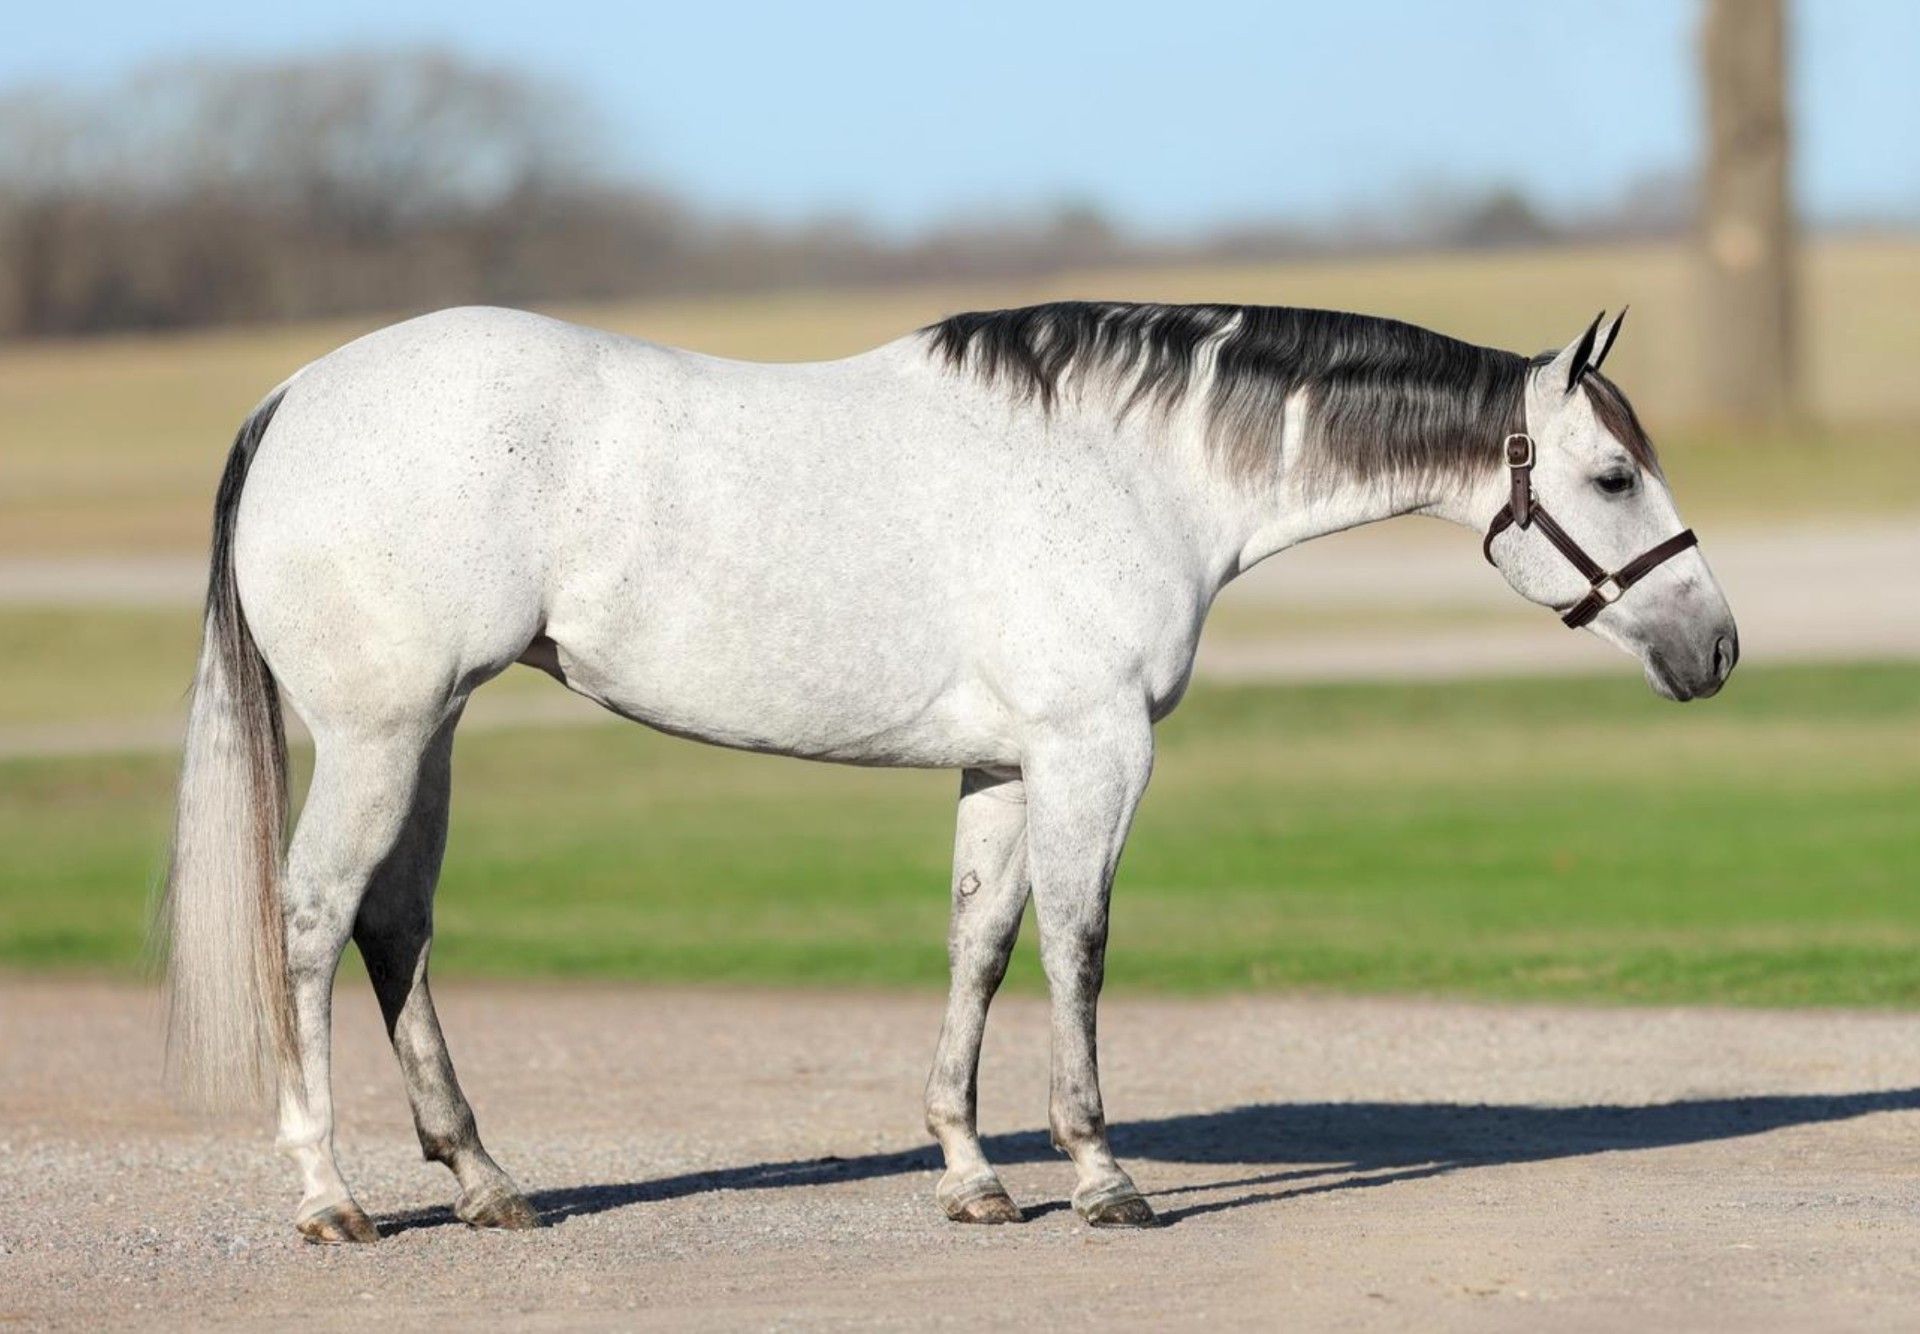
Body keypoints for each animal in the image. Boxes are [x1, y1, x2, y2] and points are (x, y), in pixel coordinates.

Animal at [158, 300, 1737, 1242]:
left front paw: (973, 1174)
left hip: (427, 731)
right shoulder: (1095, 745)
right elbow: (1078, 945)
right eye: (1611, 477)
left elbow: (979, 944)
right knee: (312, 922)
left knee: (395, 926)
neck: (1128, 467)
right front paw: (1101, 1174)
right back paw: (330, 1197)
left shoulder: (1002, 762)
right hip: (380, 732)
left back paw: (487, 1181)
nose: (1714, 645)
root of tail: (297, 393)